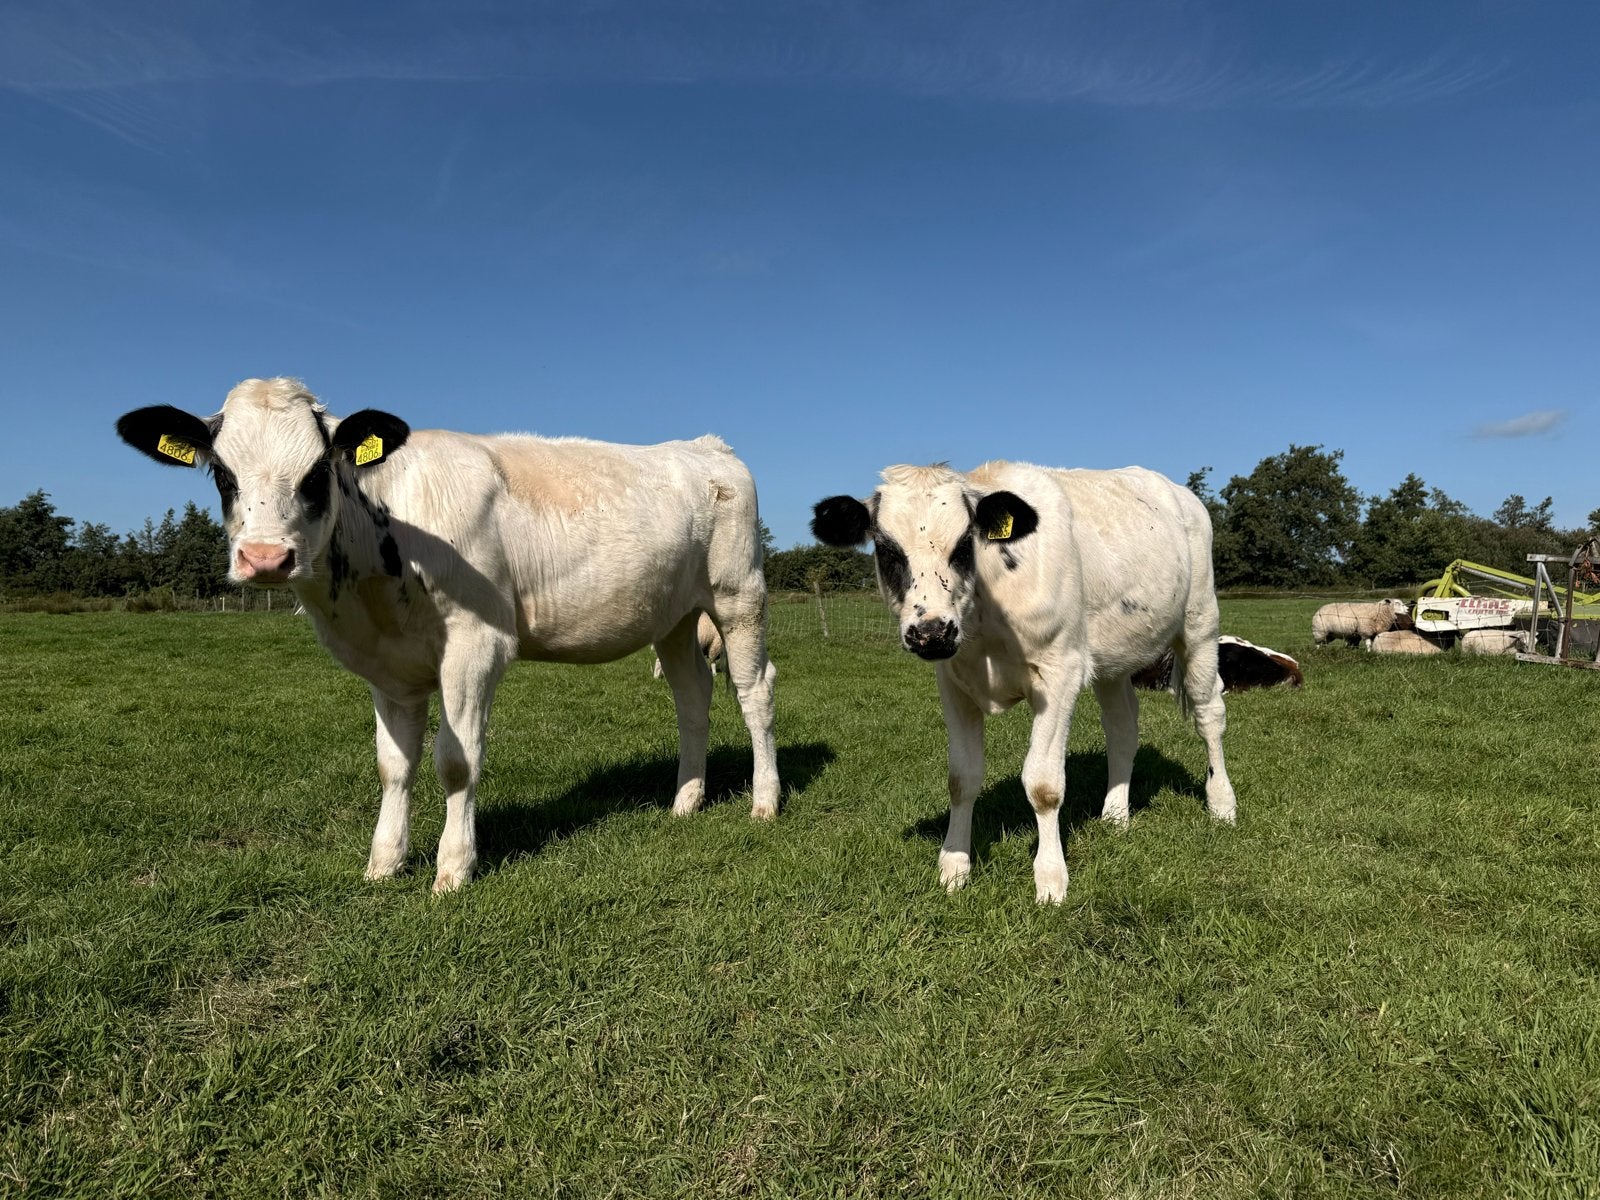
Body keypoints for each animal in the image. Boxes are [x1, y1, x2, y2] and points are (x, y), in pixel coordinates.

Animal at [117, 377, 780, 893]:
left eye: (318, 470)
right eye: (222, 474)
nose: (264, 558)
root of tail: (705, 446)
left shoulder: (477, 643)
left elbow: (456, 761)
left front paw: (453, 868)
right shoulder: (389, 665)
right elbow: (393, 765)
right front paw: (384, 863)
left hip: (737, 595)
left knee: (756, 692)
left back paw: (765, 802)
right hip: (673, 616)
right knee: (692, 697)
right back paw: (685, 801)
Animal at [812, 462, 1236, 903]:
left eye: (964, 544)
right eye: (886, 549)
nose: (931, 632)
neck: (984, 619)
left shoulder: (1061, 673)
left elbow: (1043, 785)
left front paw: (1050, 880)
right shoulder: (953, 681)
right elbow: (961, 779)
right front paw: (954, 867)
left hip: (1200, 622)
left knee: (1209, 712)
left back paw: (1222, 805)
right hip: (1113, 657)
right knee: (1122, 728)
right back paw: (1116, 814)